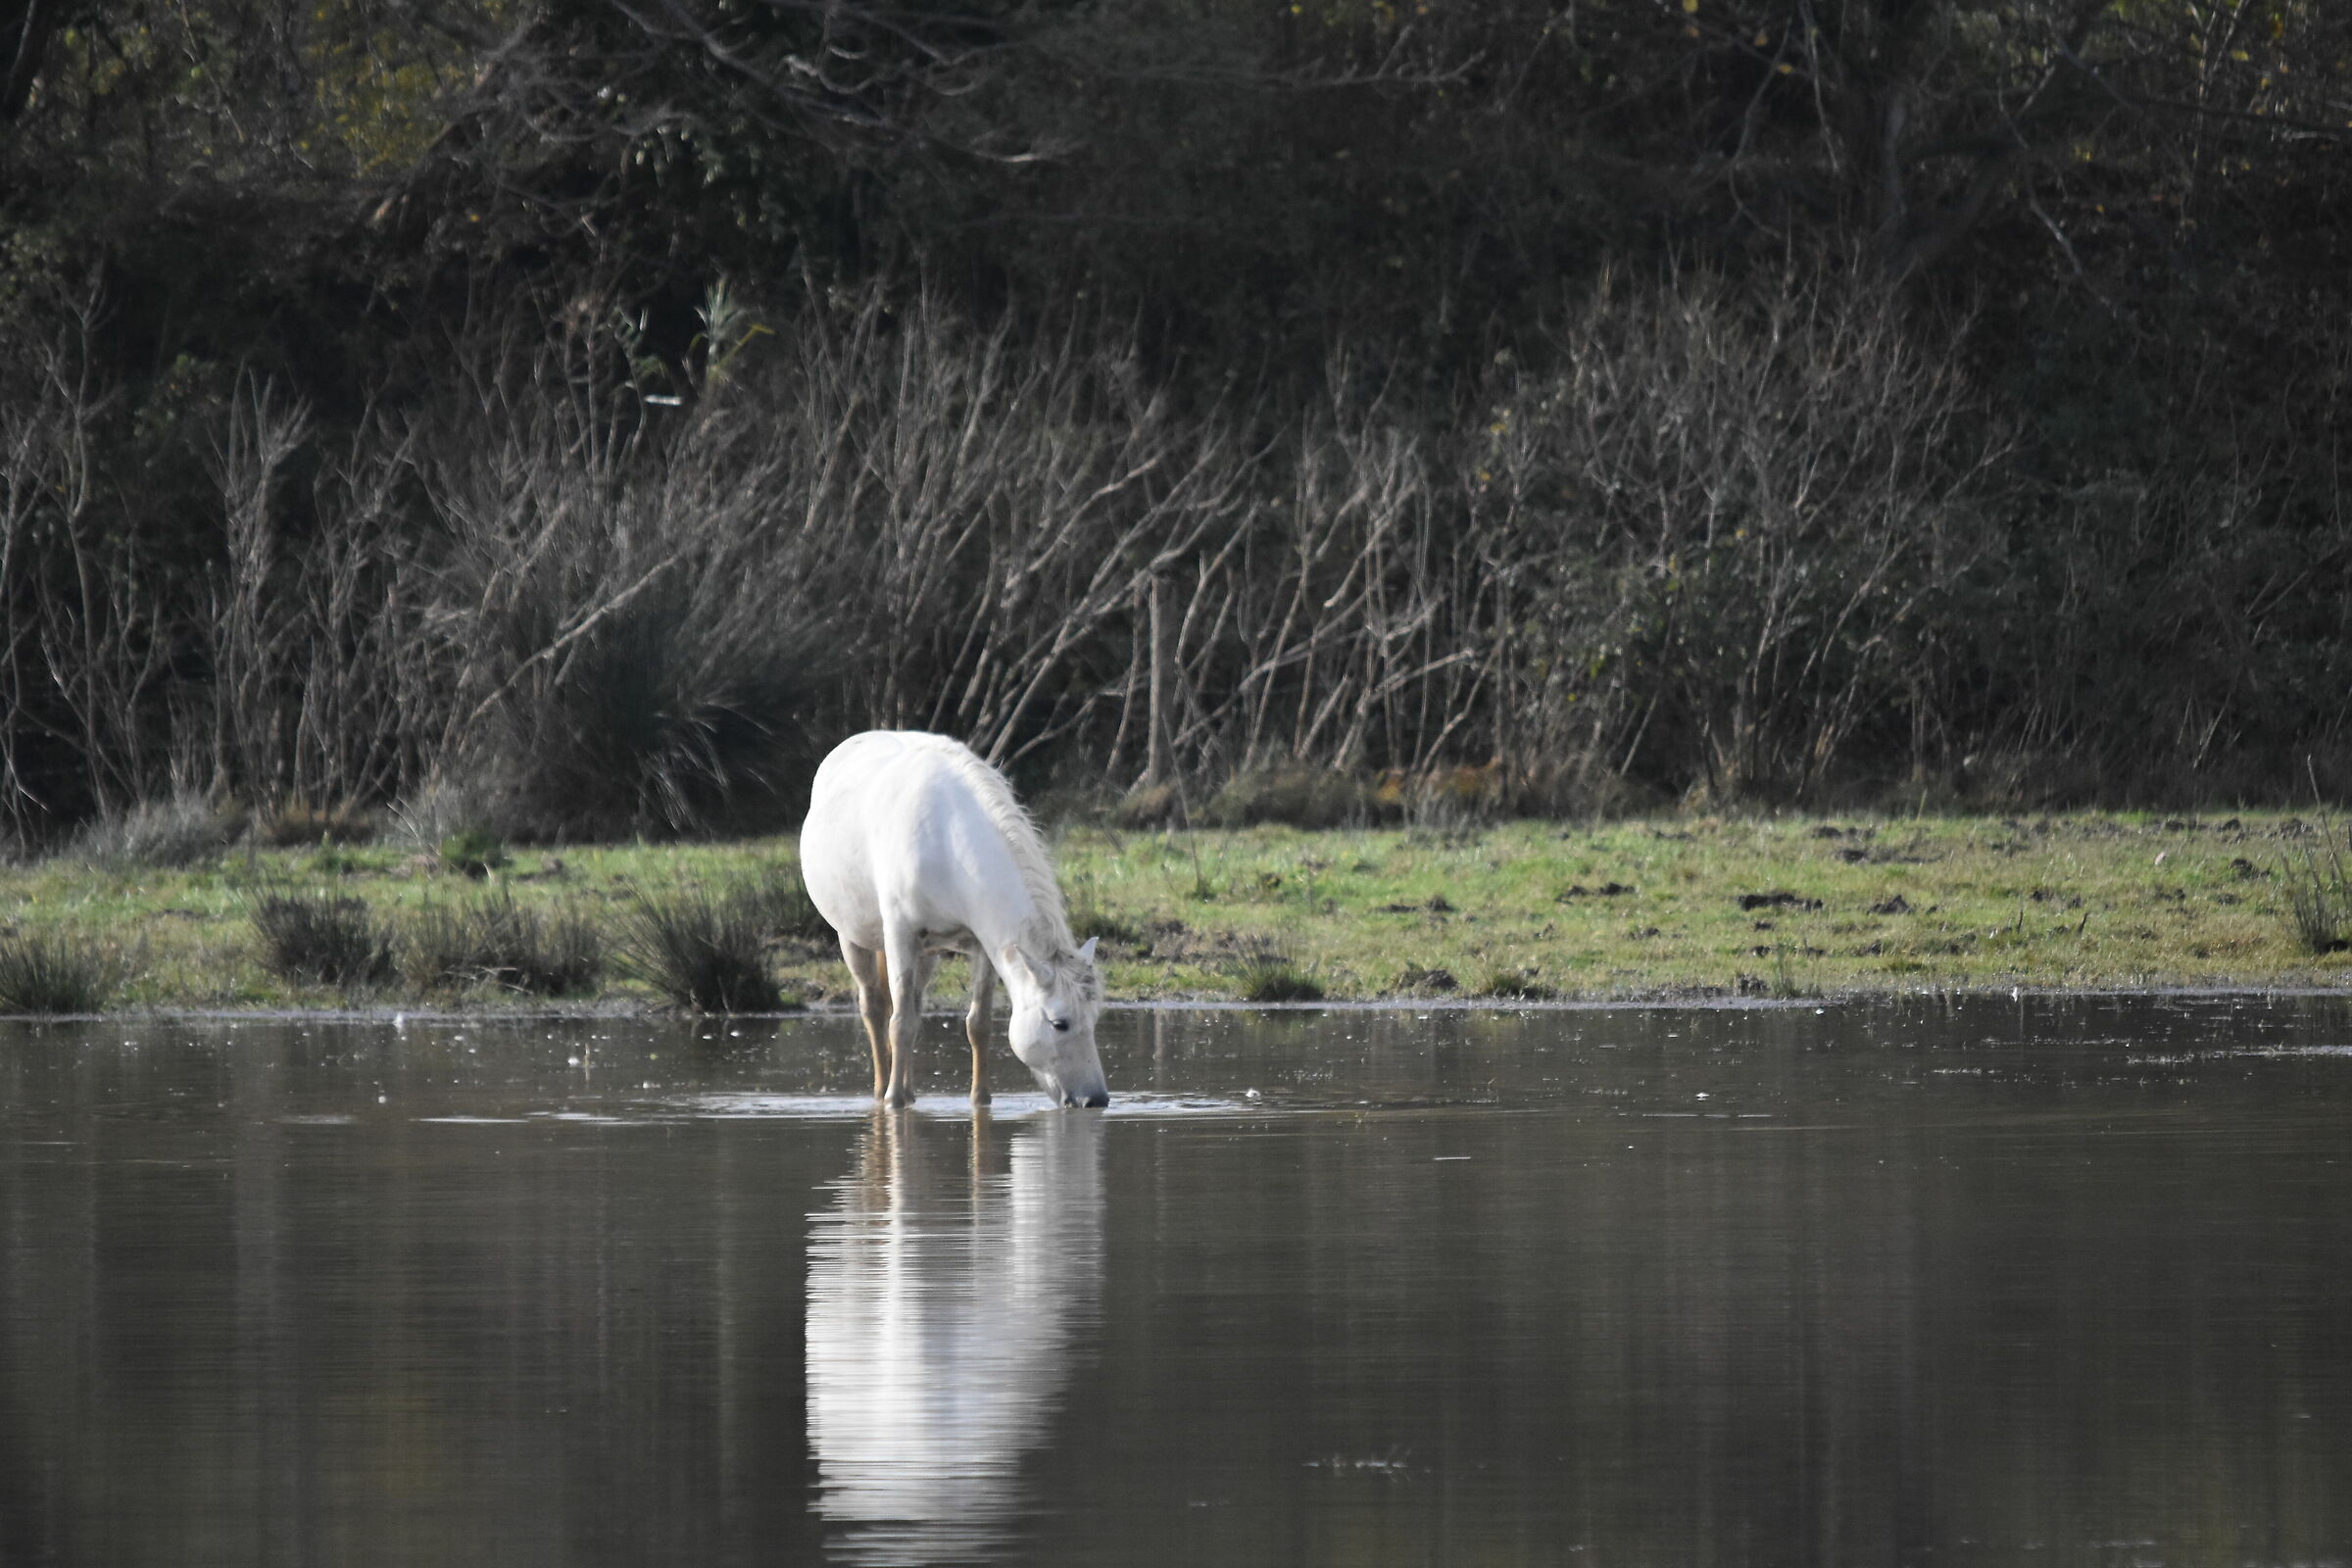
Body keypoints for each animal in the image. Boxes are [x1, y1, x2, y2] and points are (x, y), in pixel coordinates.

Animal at [799, 731, 1108, 1108]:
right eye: (1059, 1023)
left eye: (1094, 1018)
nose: (1096, 1100)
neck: (948, 842)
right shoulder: (901, 934)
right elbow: (898, 1023)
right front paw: (893, 1102)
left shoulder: (983, 944)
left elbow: (977, 1024)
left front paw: (980, 1100)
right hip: (852, 937)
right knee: (874, 1007)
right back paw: (883, 1090)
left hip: (927, 952)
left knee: (914, 1005)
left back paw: (910, 1092)